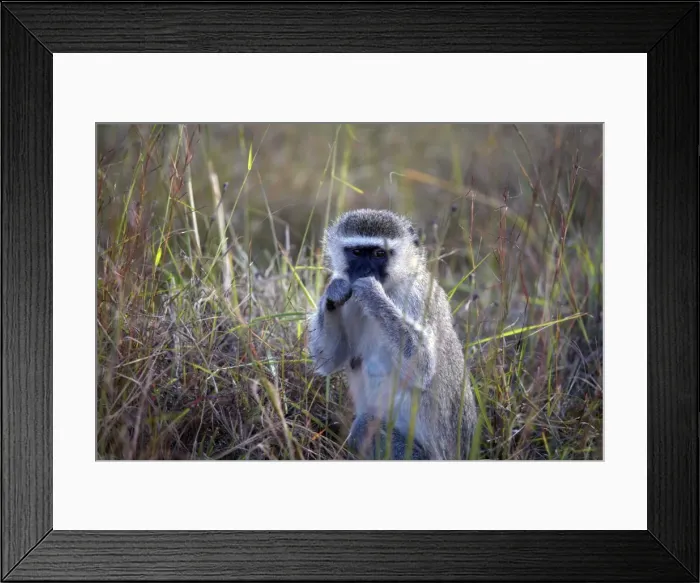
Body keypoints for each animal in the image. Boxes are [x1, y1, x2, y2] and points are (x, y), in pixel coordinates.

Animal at [307, 208, 477, 460]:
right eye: (357, 252)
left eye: (379, 254)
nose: (365, 272)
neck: (391, 287)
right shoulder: (349, 302)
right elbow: (330, 360)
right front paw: (333, 293)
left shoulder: (417, 296)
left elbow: (422, 366)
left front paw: (371, 292)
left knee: (364, 426)